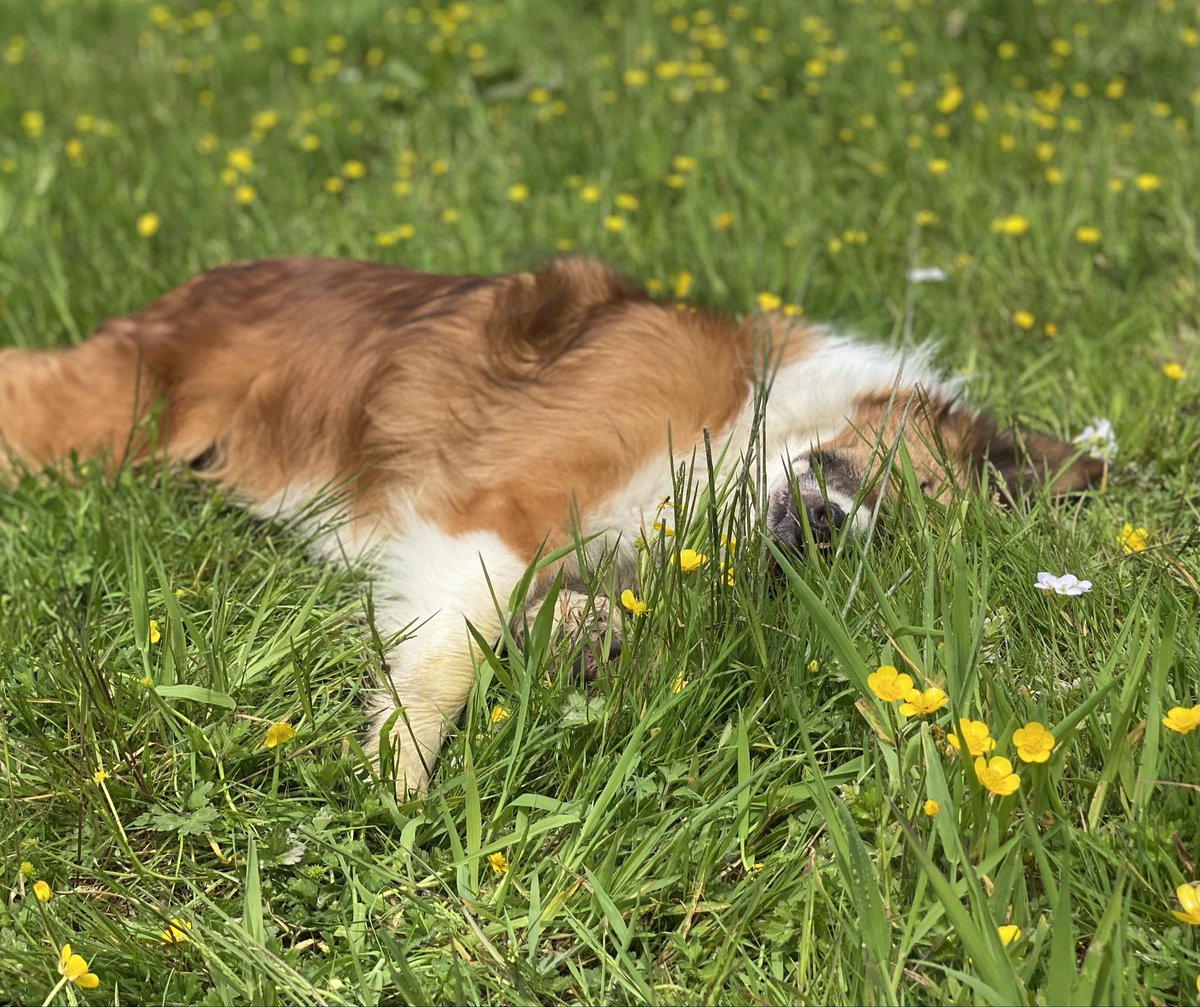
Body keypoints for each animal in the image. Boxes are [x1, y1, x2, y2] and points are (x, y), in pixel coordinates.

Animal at [0, 255, 1104, 792]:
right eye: (893, 483)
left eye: (898, 545)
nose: (833, 530)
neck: (741, 423)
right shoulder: (495, 512)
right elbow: (449, 650)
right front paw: (402, 767)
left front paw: (581, 639)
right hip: (103, 413)